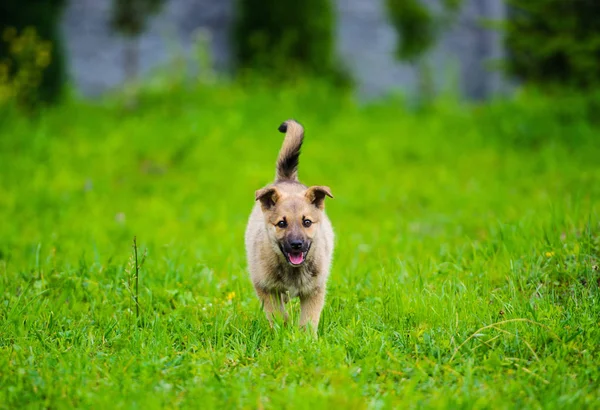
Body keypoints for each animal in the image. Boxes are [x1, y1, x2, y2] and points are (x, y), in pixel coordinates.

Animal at [245, 119, 338, 336]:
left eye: (307, 222)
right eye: (281, 223)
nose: (296, 244)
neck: (293, 271)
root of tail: (286, 180)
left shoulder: (315, 291)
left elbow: (308, 321)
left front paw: (305, 340)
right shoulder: (266, 287)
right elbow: (278, 315)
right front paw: (282, 333)